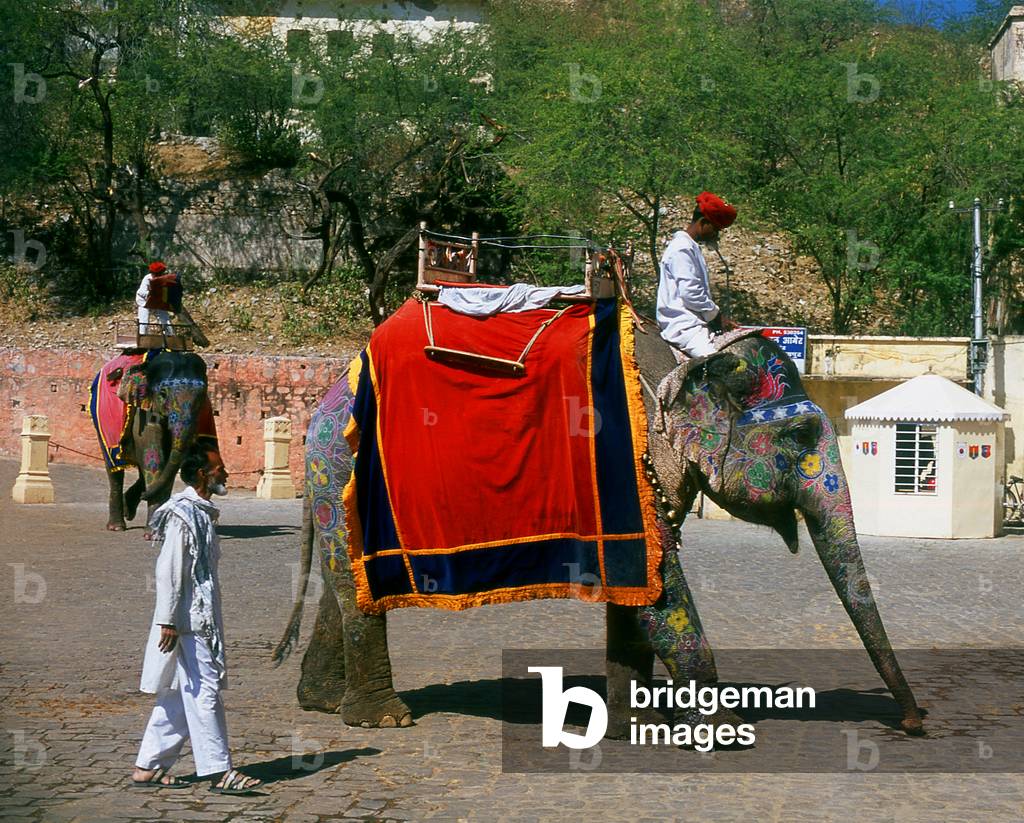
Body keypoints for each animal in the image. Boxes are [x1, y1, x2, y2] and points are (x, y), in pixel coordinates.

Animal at [90, 350, 215, 533]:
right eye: (162, 394)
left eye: (202, 396)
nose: (144, 496)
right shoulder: (142, 413)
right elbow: (154, 457)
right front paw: (153, 532)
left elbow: (168, 461)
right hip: (101, 423)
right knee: (114, 469)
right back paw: (117, 526)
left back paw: (129, 507)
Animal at [274, 324, 925, 739]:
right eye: (799, 437)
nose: (914, 724)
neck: (682, 367)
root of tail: (323, 402)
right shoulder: (625, 464)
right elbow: (661, 592)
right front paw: (725, 732)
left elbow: (639, 589)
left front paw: (635, 725)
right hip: (343, 470)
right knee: (356, 595)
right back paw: (386, 719)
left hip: (336, 481)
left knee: (348, 589)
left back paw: (324, 704)